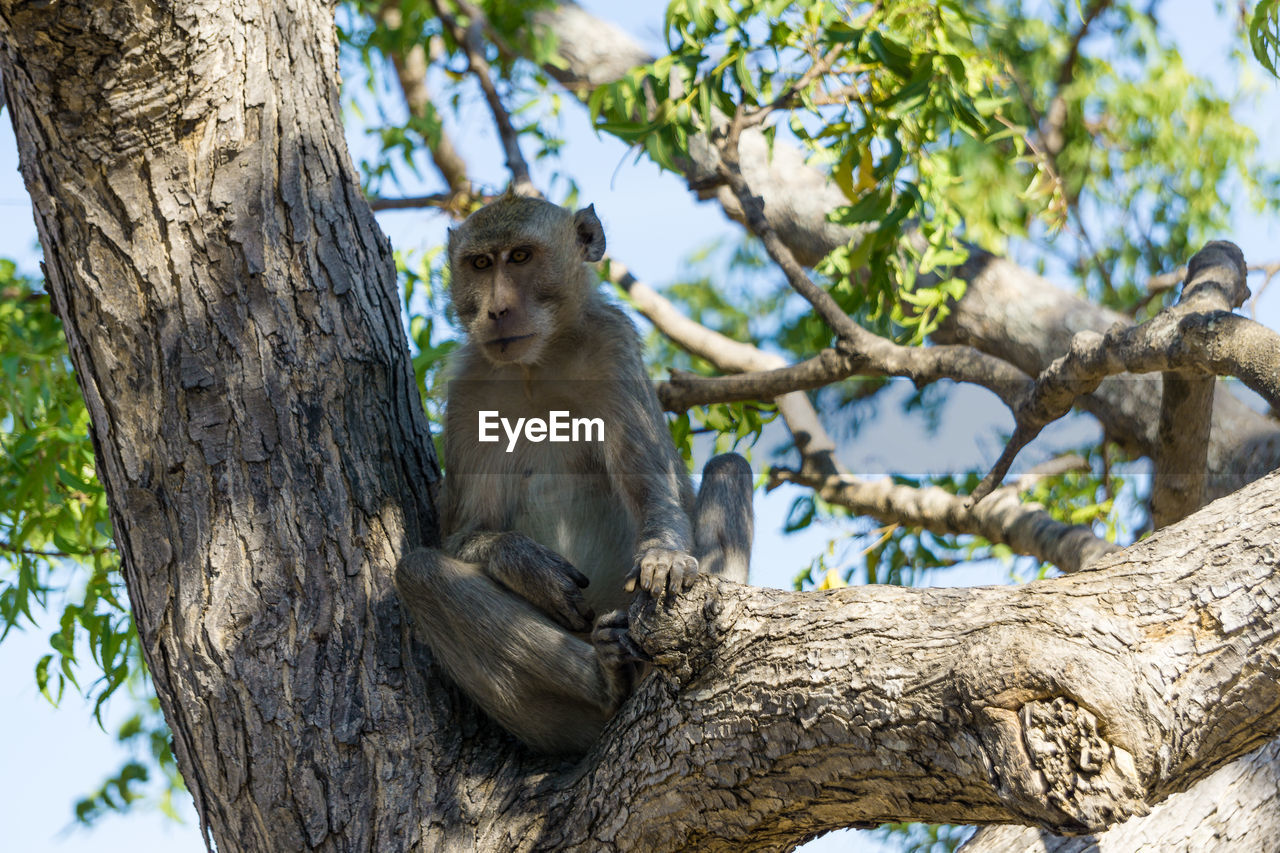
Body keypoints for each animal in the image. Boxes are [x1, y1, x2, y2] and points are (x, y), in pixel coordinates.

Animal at [399, 190, 752, 753]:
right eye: (480, 264)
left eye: (521, 257)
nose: (497, 310)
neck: (537, 364)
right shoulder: (470, 386)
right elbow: (464, 532)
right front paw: (524, 564)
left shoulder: (612, 347)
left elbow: (653, 489)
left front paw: (663, 556)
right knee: (419, 573)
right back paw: (602, 682)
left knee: (730, 465)